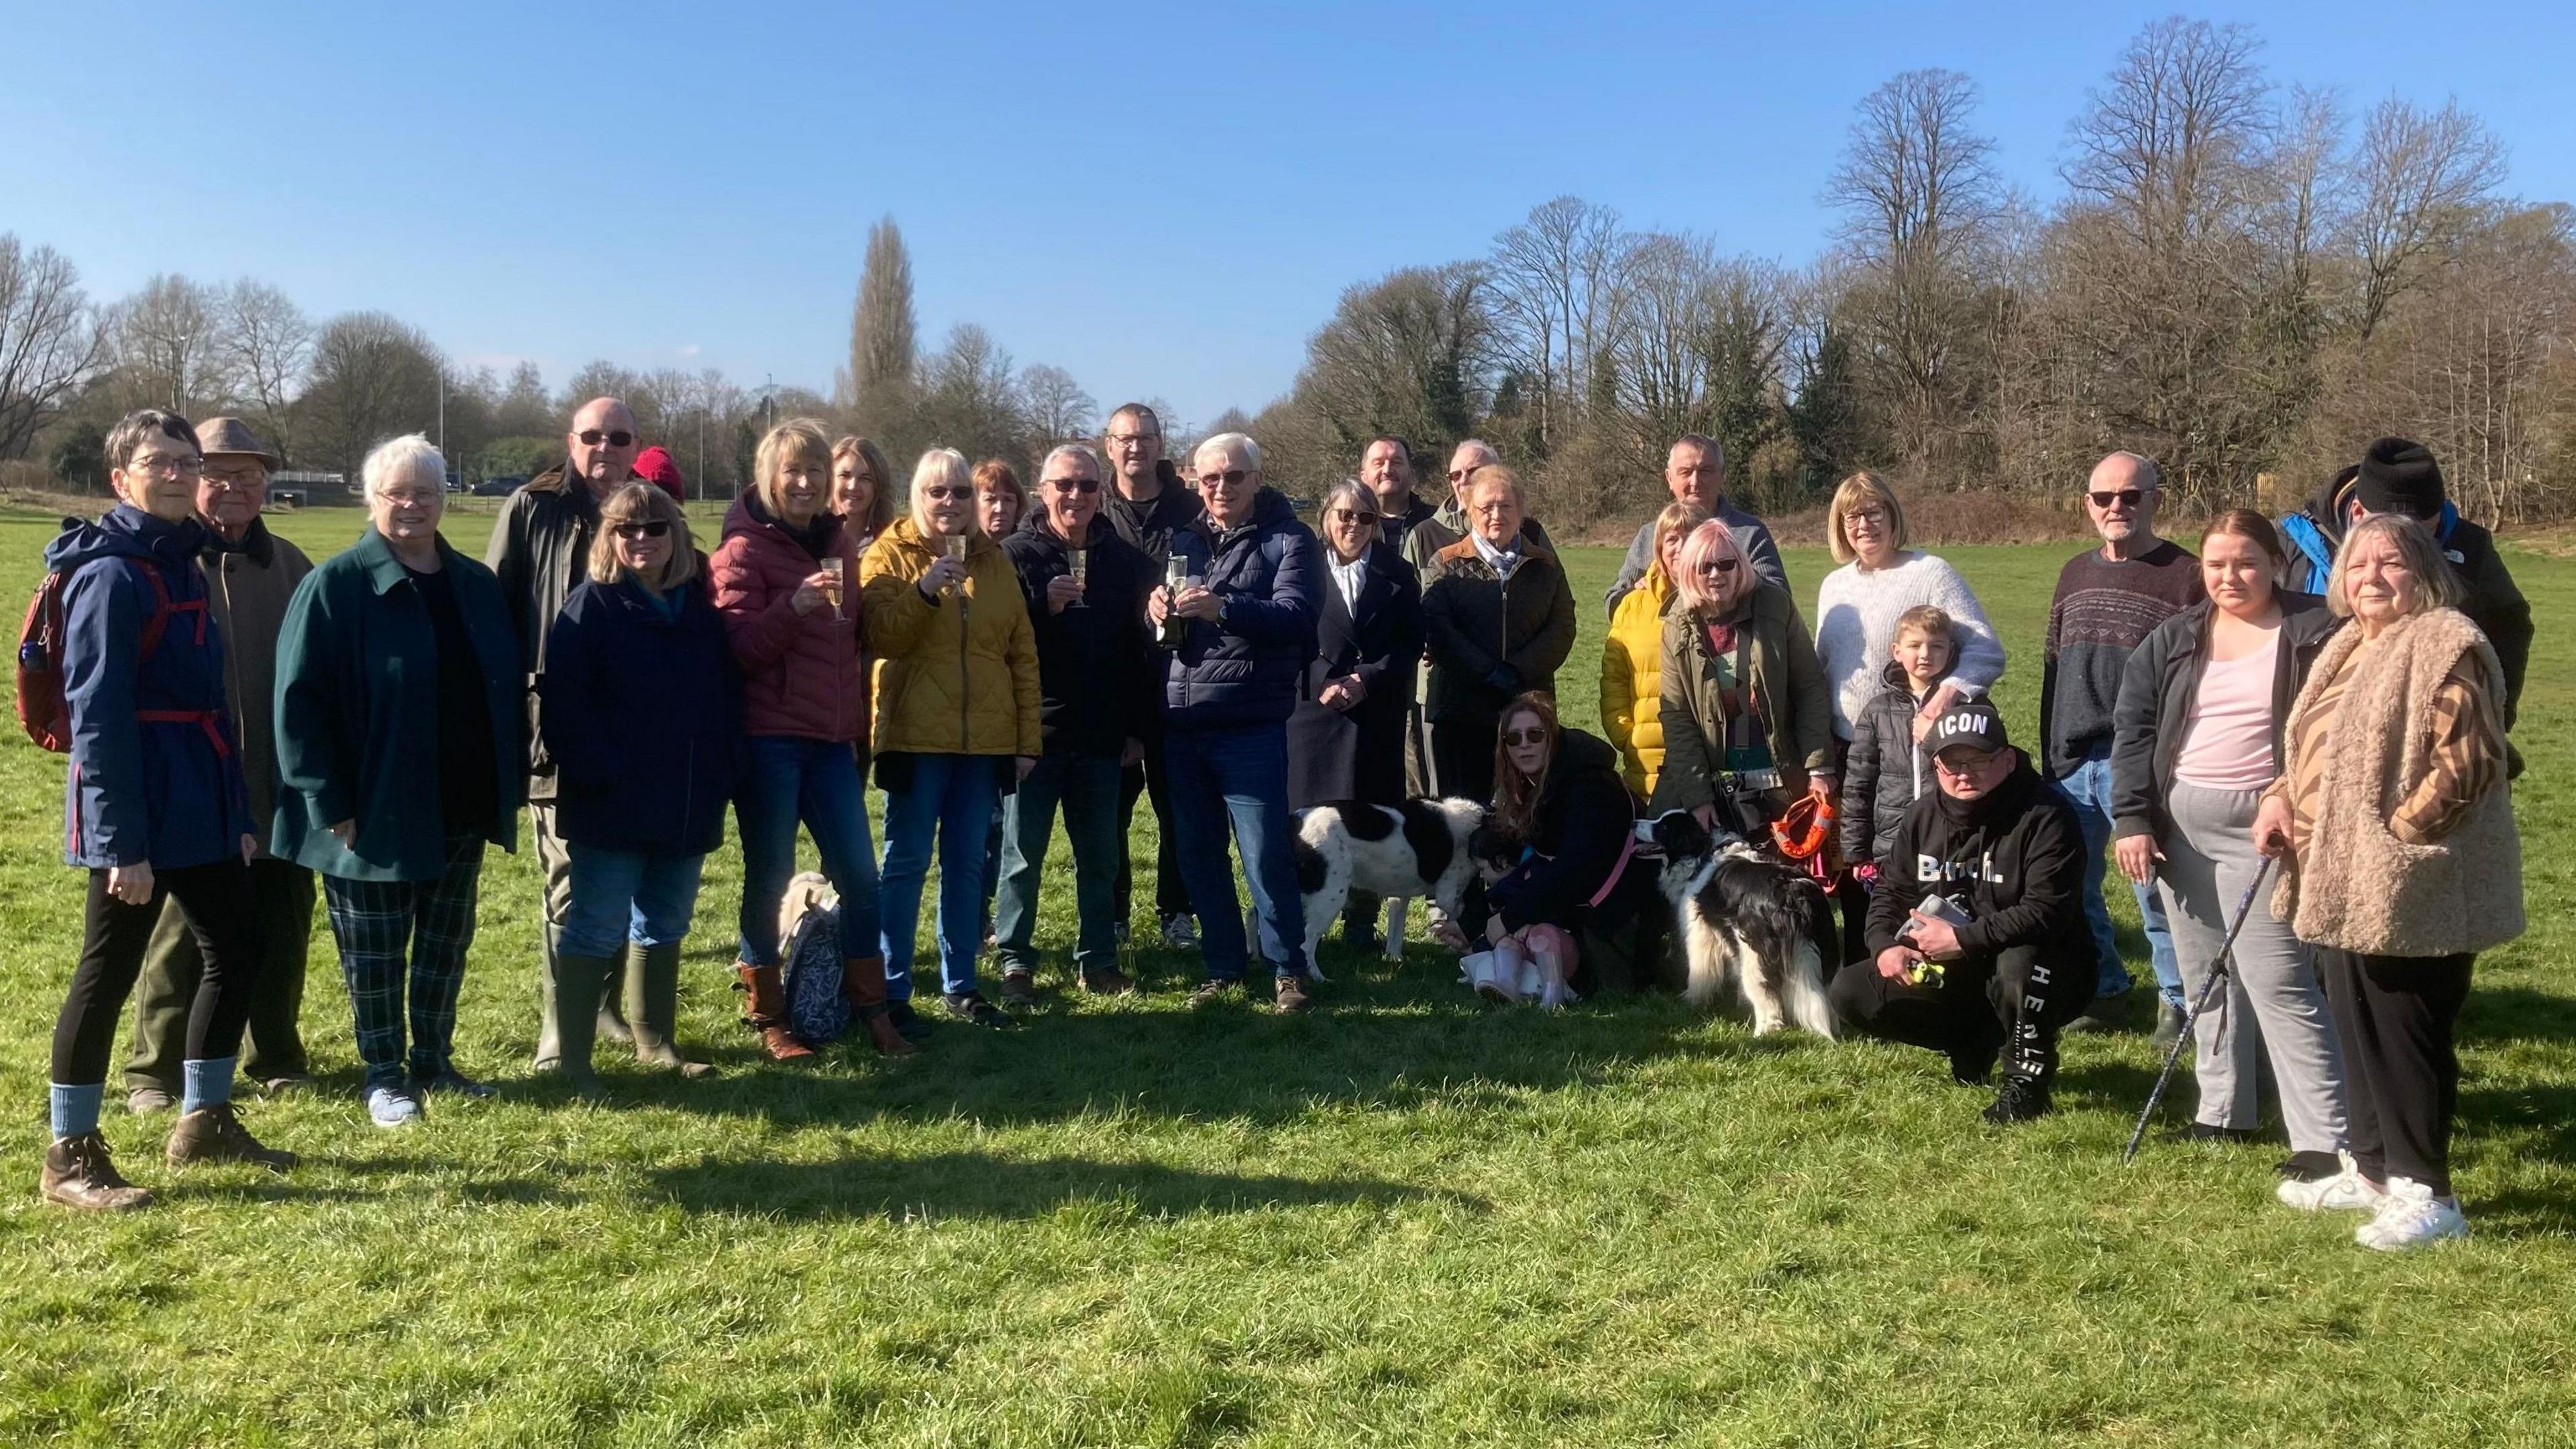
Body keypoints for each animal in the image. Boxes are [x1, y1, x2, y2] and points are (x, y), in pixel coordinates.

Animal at [1288, 794, 1494, 964]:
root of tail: (1295, 822)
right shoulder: (1448, 894)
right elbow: (1460, 916)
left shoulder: (1399, 895)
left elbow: (1396, 933)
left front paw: (1394, 959)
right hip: (1330, 898)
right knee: (1306, 946)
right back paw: (1319, 979)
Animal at [1658, 804, 1844, 1031]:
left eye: (1664, 827)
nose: (1637, 824)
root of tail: (1793, 894)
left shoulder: (1701, 934)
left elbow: (1699, 975)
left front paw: (1692, 1001)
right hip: (1824, 946)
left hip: (1755, 956)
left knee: (1767, 997)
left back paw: (1764, 1031)